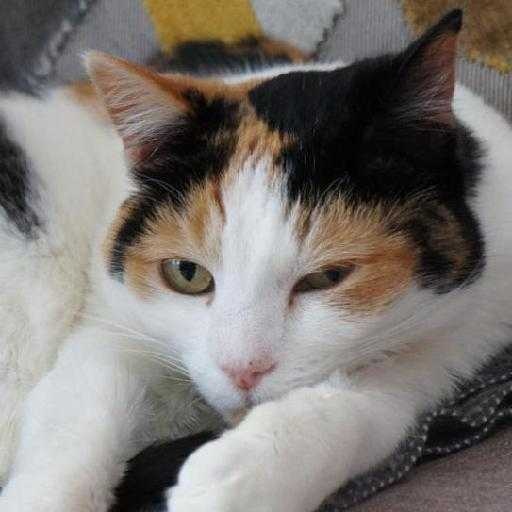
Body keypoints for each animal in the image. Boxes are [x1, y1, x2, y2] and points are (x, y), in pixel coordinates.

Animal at [1, 8, 512, 512]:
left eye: (327, 277)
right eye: (187, 273)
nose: (241, 370)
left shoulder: (461, 335)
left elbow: (370, 404)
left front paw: (238, 477)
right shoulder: (112, 320)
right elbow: (80, 407)